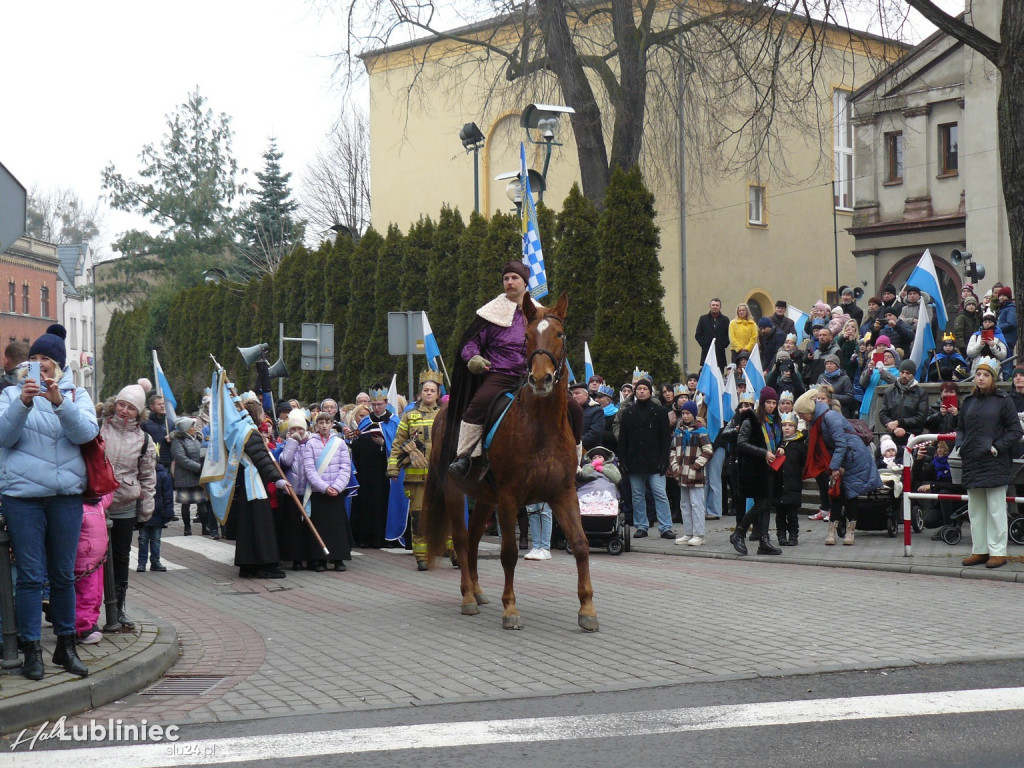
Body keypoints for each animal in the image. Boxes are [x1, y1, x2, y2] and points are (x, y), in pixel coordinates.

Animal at [417, 292, 598, 630]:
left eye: (560, 334)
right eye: (526, 337)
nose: (541, 379)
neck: (540, 426)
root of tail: (442, 411)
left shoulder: (562, 492)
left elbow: (581, 545)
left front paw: (587, 610)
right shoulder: (509, 496)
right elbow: (509, 552)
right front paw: (510, 609)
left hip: (484, 498)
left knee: (475, 539)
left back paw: (477, 592)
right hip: (455, 490)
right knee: (461, 540)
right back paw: (467, 597)